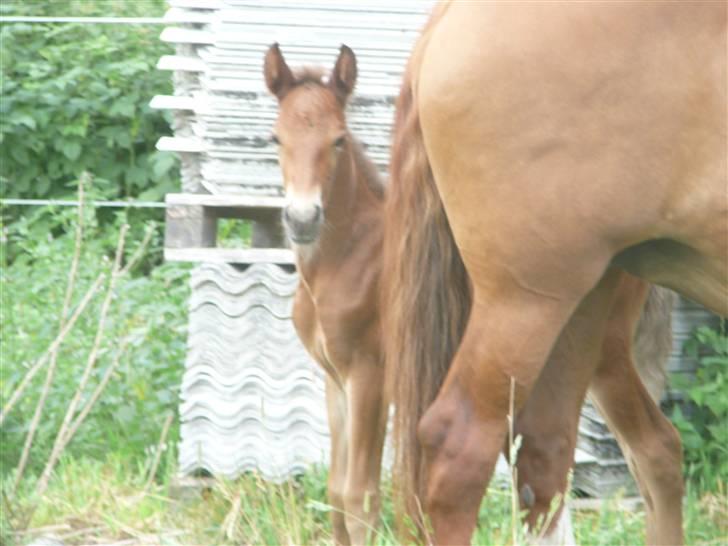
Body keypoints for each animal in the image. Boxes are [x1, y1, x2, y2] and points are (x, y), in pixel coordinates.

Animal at [262, 44, 386, 540]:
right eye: (275, 139)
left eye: (338, 139)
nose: (302, 218)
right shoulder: (335, 379)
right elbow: (335, 493)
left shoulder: (370, 376)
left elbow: (360, 496)